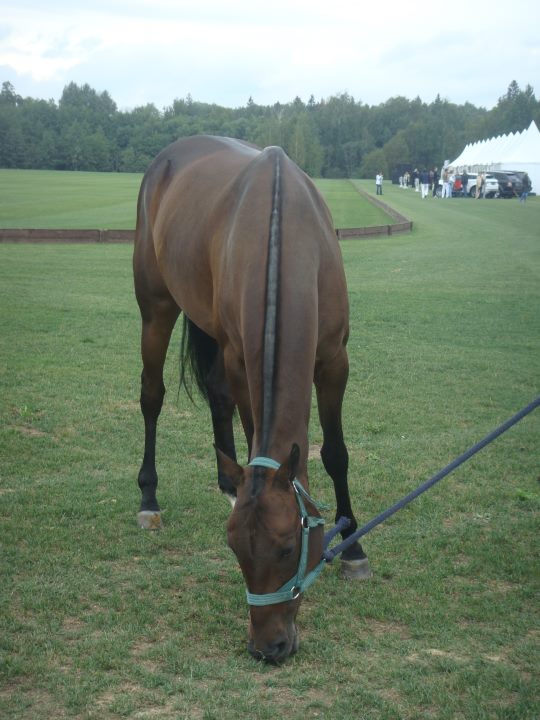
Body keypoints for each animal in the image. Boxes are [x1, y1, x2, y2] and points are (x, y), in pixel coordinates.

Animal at [133, 135, 369, 663]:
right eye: (235, 551)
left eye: (287, 548)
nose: (269, 647)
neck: (285, 233)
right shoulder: (243, 360)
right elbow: (251, 429)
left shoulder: (335, 360)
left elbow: (336, 454)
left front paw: (354, 548)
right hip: (157, 308)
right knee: (152, 397)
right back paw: (148, 497)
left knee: (215, 396)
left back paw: (227, 481)